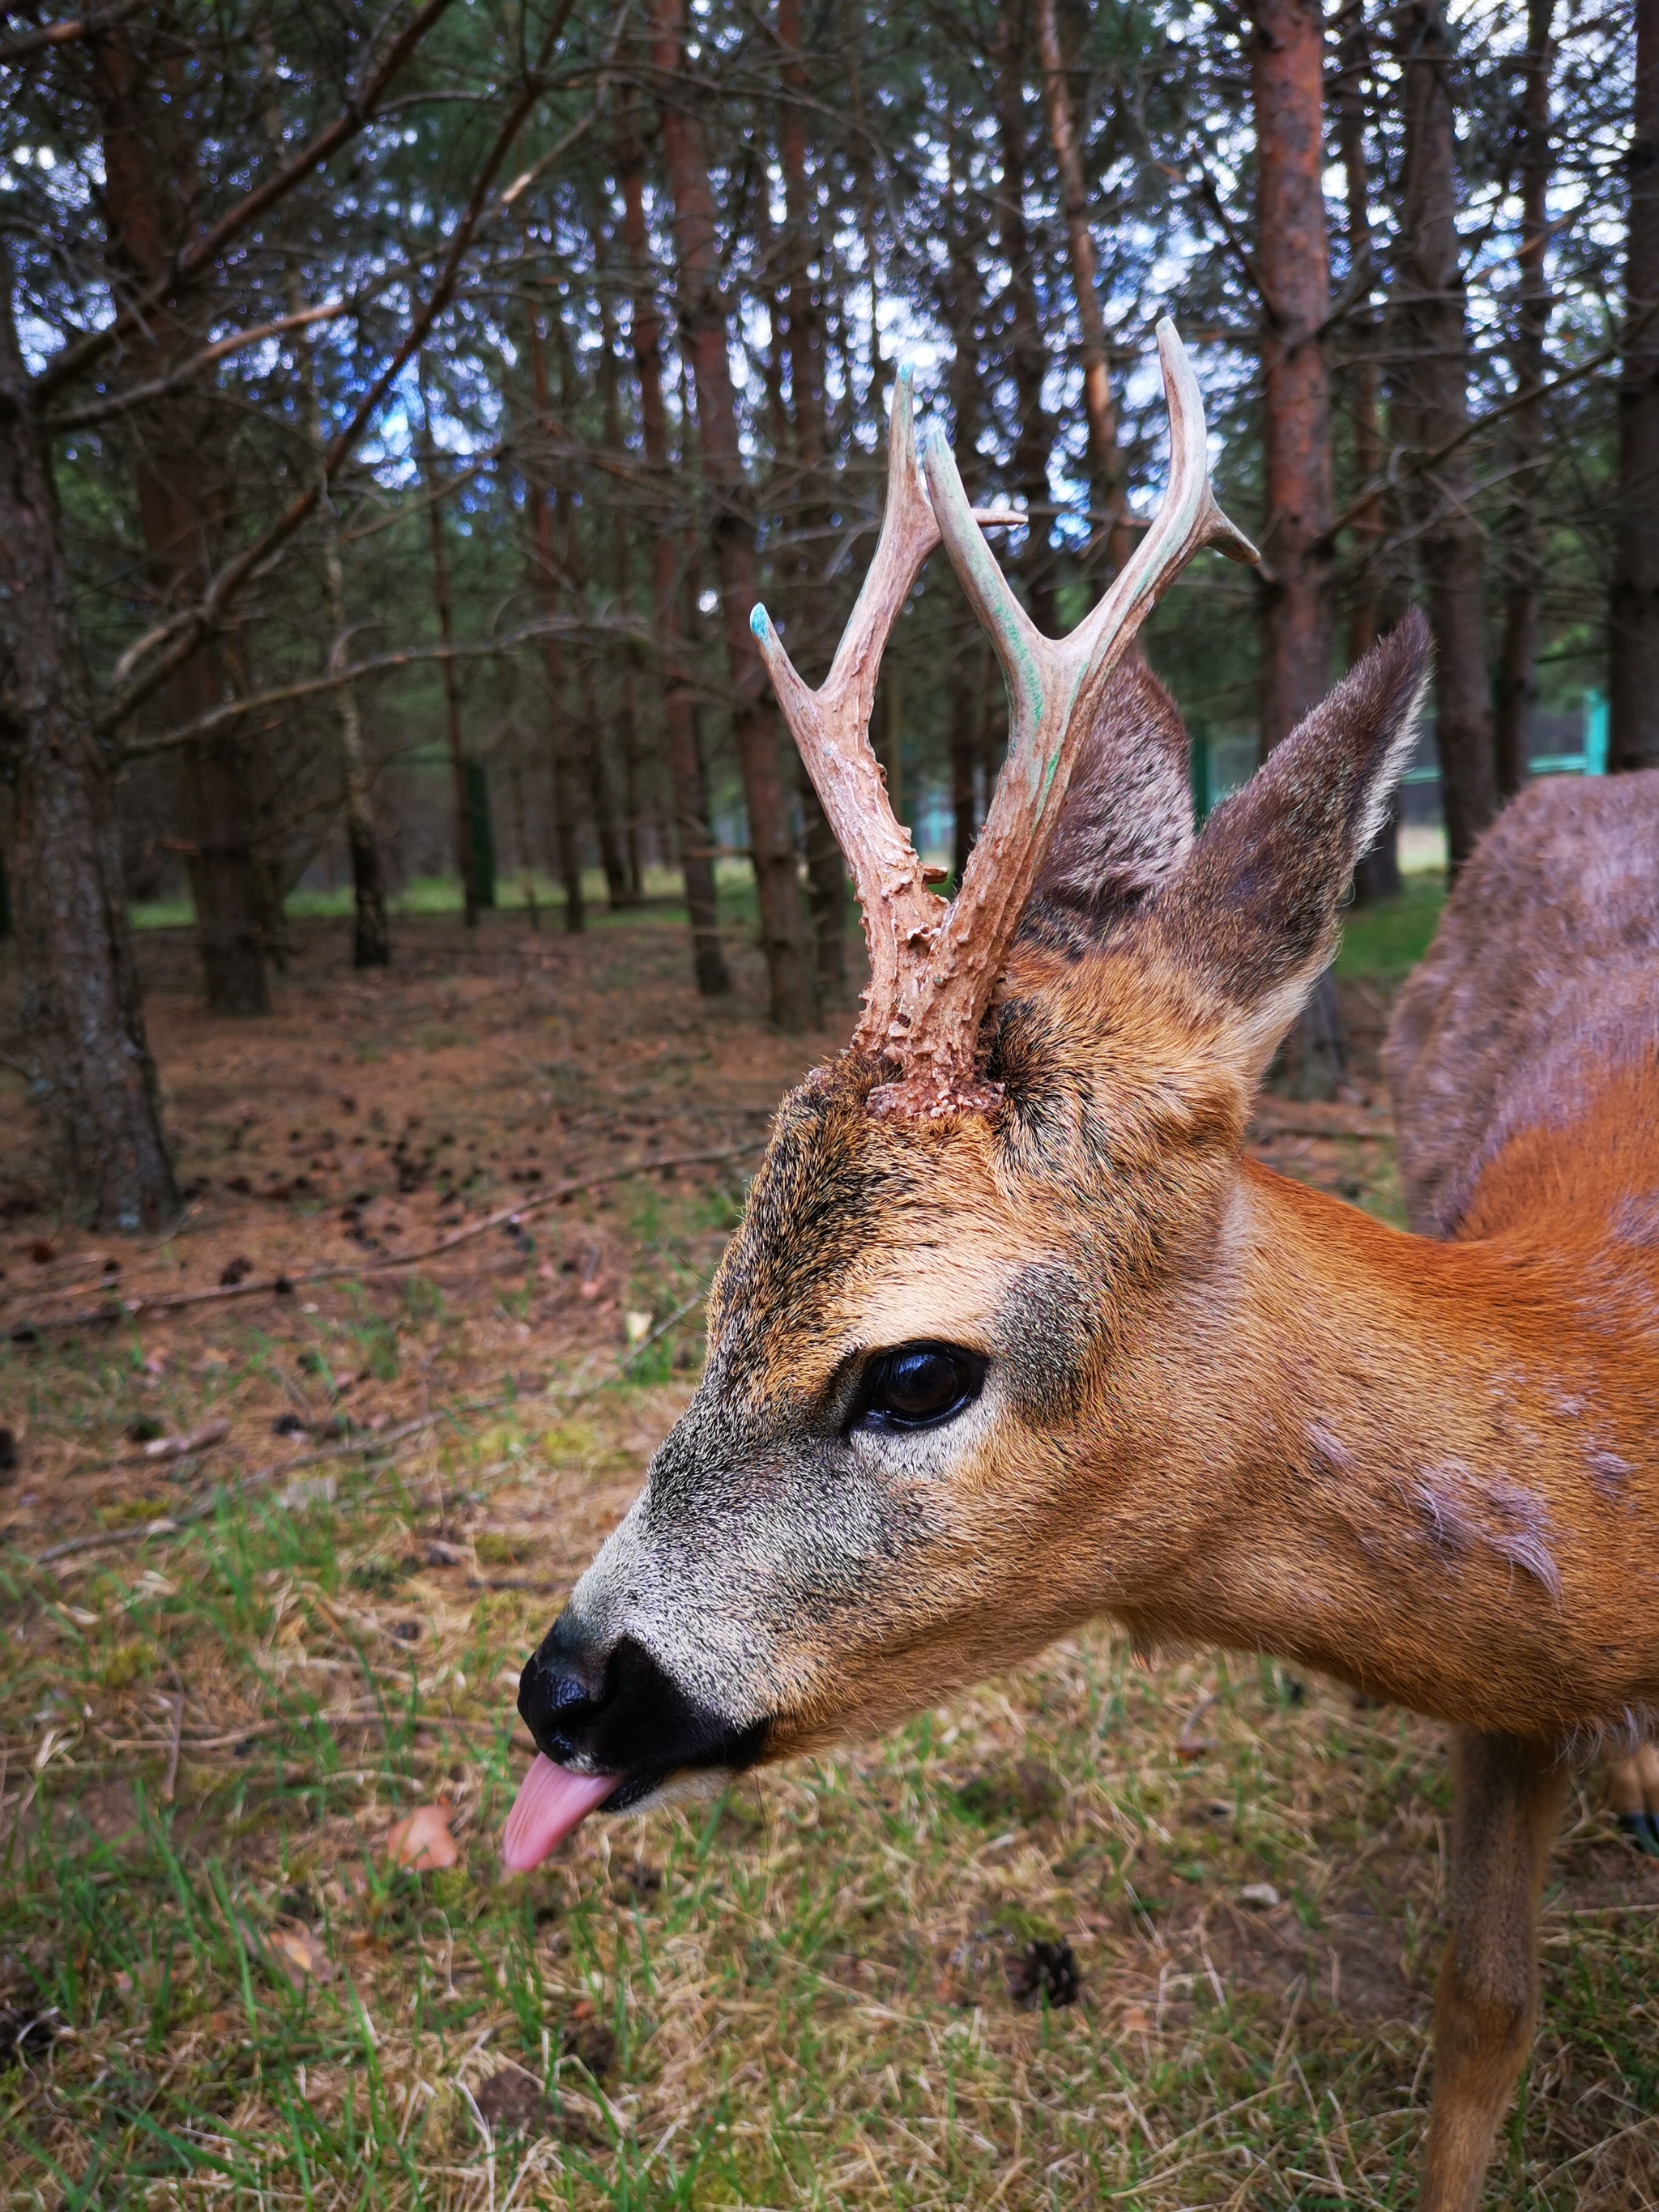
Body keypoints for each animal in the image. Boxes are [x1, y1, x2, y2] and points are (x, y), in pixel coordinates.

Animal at [504, 322, 1659, 2212]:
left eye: (912, 1371)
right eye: (726, 1286)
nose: (563, 1692)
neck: (1602, 1333)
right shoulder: (1514, 1687)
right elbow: (1476, 2009)